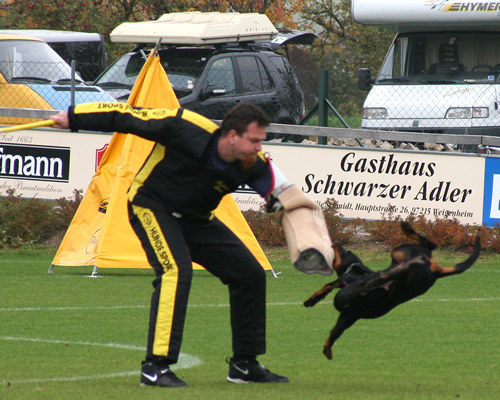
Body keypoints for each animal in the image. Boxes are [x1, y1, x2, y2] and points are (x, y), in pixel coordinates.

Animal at [302, 222, 482, 360]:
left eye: (346, 251)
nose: (336, 241)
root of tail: (434, 268)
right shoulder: (347, 317)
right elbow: (334, 332)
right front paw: (327, 349)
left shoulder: (345, 285)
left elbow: (330, 284)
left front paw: (312, 299)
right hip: (405, 263)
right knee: (423, 252)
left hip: (400, 254)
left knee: (425, 249)